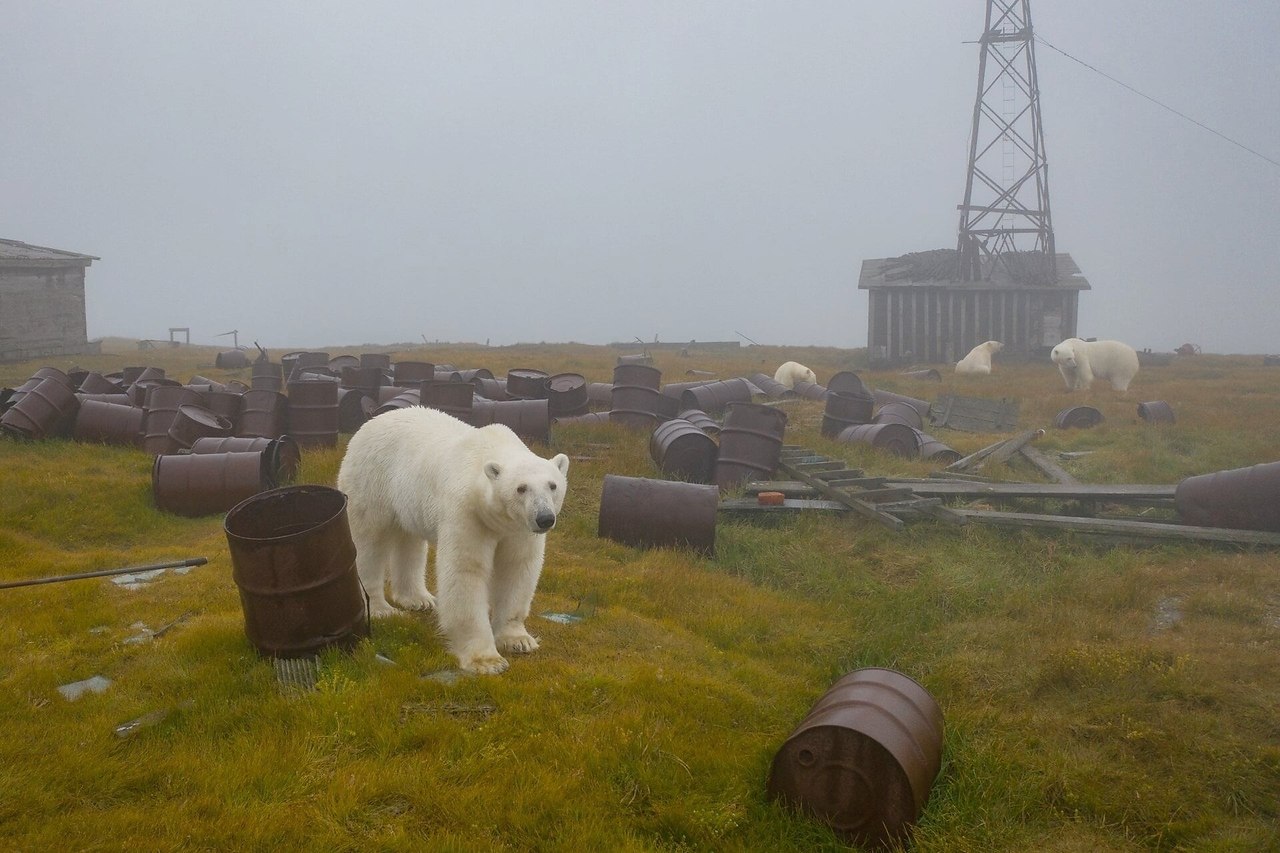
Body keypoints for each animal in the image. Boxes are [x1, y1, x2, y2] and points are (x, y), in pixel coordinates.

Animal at [337, 404, 568, 671]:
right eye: (521, 488)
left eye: (552, 485)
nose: (545, 518)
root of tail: (371, 422)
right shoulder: (467, 513)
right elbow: (466, 570)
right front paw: (486, 660)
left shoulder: (518, 528)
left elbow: (516, 568)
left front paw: (518, 640)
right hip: (371, 480)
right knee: (369, 541)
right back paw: (381, 608)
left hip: (408, 498)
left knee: (409, 540)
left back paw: (419, 599)